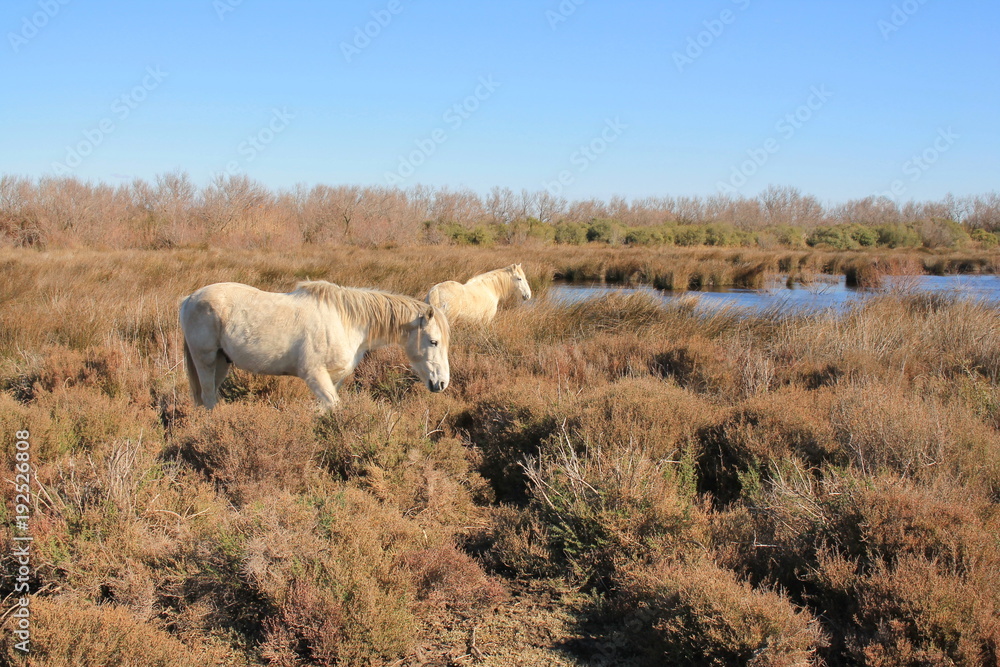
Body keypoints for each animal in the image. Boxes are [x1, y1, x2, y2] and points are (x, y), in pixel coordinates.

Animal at [179, 281, 450, 410]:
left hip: (222, 362)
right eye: (433, 341)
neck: (345, 320)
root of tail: (189, 299)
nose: (441, 384)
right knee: (207, 396)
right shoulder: (314, 375)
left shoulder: (334, 379)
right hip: (204, 360)